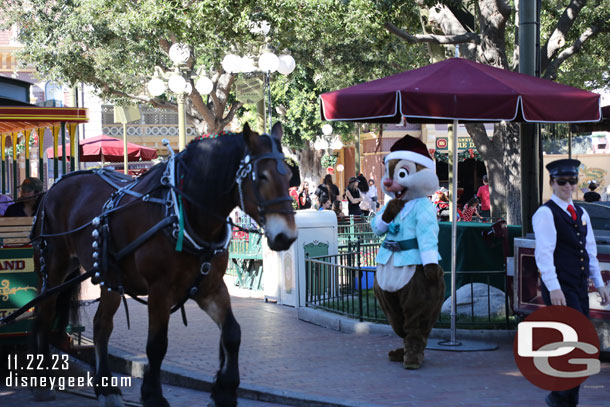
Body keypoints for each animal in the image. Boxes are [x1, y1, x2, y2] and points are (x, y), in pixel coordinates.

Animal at [27, 122, 296, 406]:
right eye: (261, 176)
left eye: (290, 175)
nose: (285, 236)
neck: (182, 212)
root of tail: (53, 188)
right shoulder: (159, 290)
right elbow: (156, 345)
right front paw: (153, 395)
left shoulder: (210, 287)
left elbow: (233, 333)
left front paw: (224, 392)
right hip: (54, 267)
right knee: (43, 314)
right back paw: (42, 380)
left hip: (110, 279)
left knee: (102, 325)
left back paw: (107, 388)